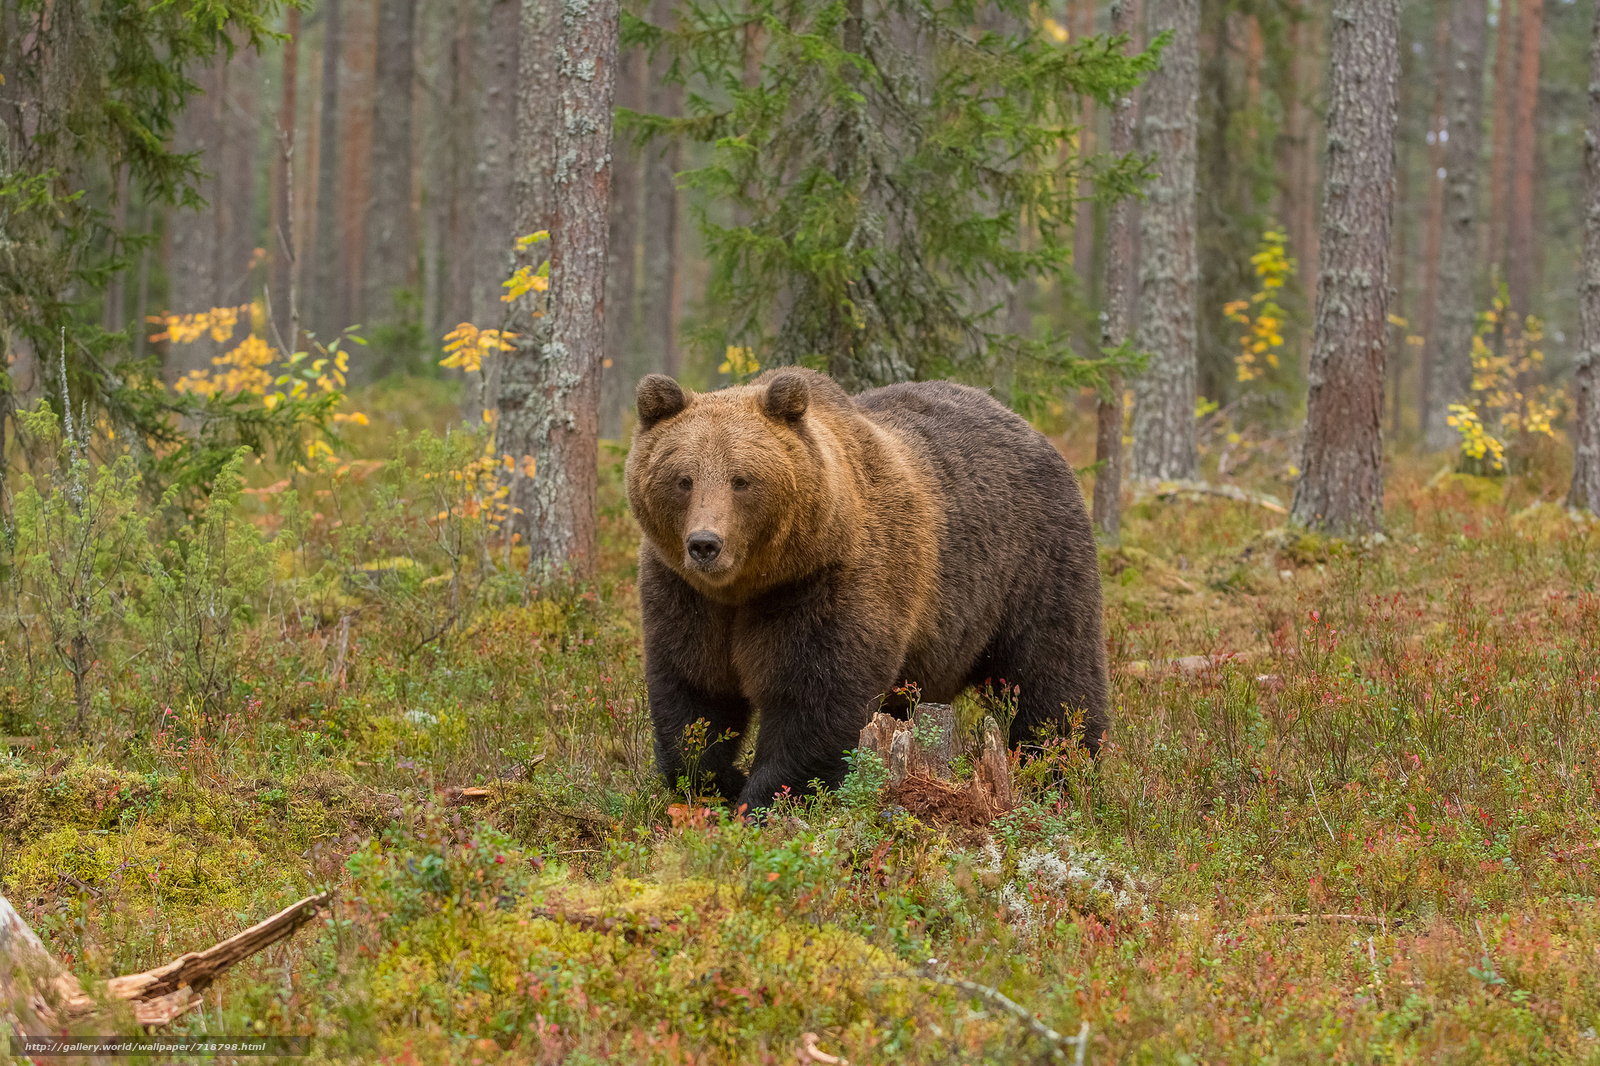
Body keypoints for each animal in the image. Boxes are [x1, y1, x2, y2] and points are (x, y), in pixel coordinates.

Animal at [620, 364, 1100, 806]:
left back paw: (1063, 770)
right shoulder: (685, 594)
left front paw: (765, 798)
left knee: (1054, 677)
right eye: (683, 479)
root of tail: (1023, 423)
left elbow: (816, 699)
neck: (748, 585)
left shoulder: (829, 582)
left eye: (742, 479)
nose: (705, 544)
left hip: (1032, 564)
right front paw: (717, 783)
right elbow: (694, 693)